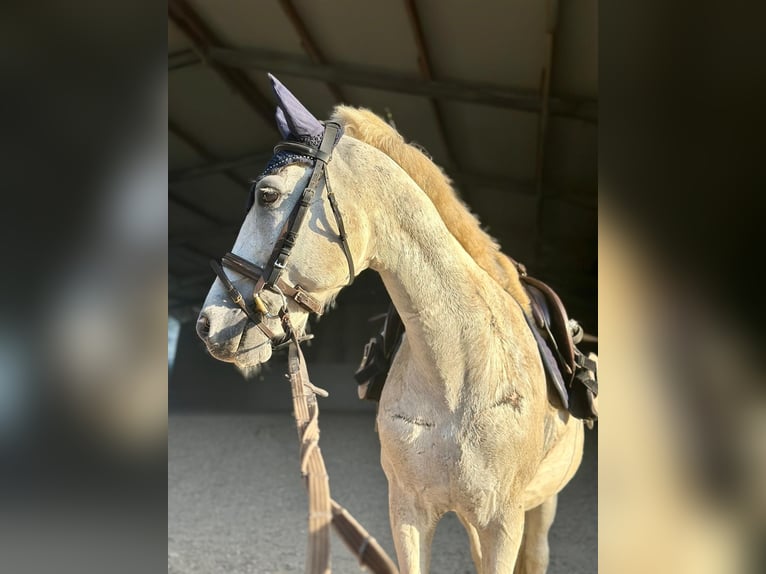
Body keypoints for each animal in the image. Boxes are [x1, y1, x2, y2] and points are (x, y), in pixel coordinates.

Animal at [197, 75, 585, 574]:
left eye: (267, 195)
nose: (208, 323)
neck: (459, 370)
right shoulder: (408, 512)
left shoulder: (502, 523)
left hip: (538, 507)